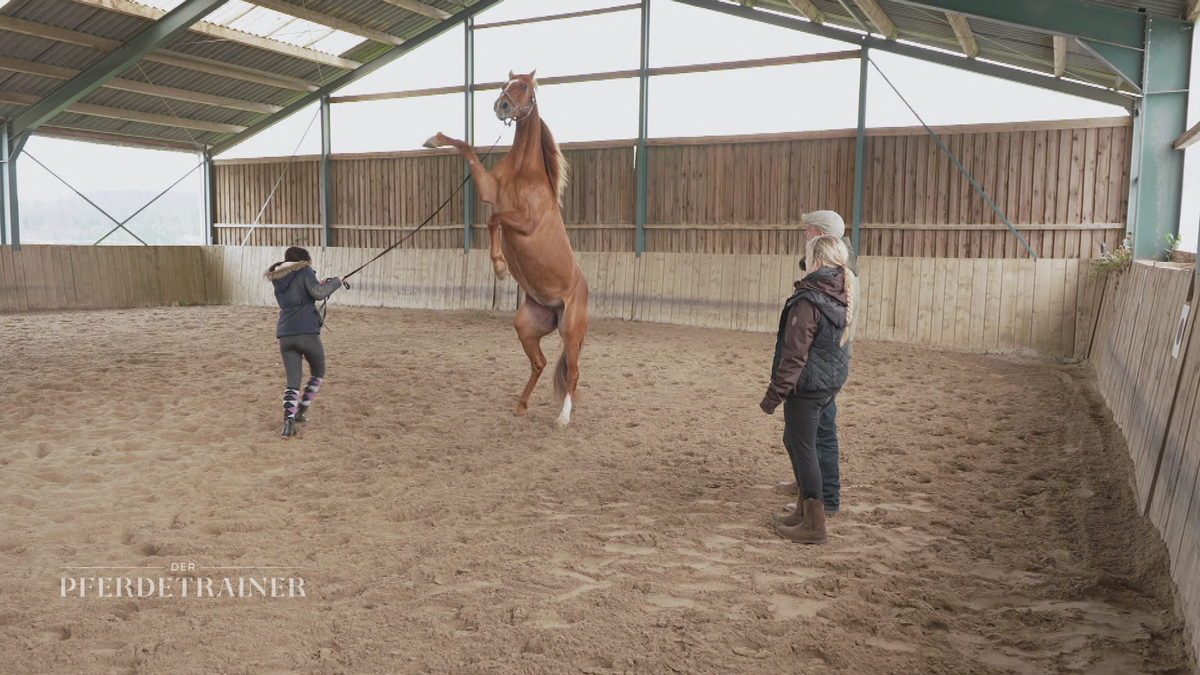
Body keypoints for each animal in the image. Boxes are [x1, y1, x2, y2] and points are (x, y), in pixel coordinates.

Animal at [424, 72, 588, 425]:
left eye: (523, 86)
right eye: (504, 84)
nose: (502, 106)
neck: (524, 172)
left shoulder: (525, 223)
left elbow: (495, 219)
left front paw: (500, 267)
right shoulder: (489, 190)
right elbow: (466, 149)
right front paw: (434, 138)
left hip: (570, 331)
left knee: (573, 373)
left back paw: (563, 419)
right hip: (526, 326)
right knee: (540, 363)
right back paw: (522, 404)